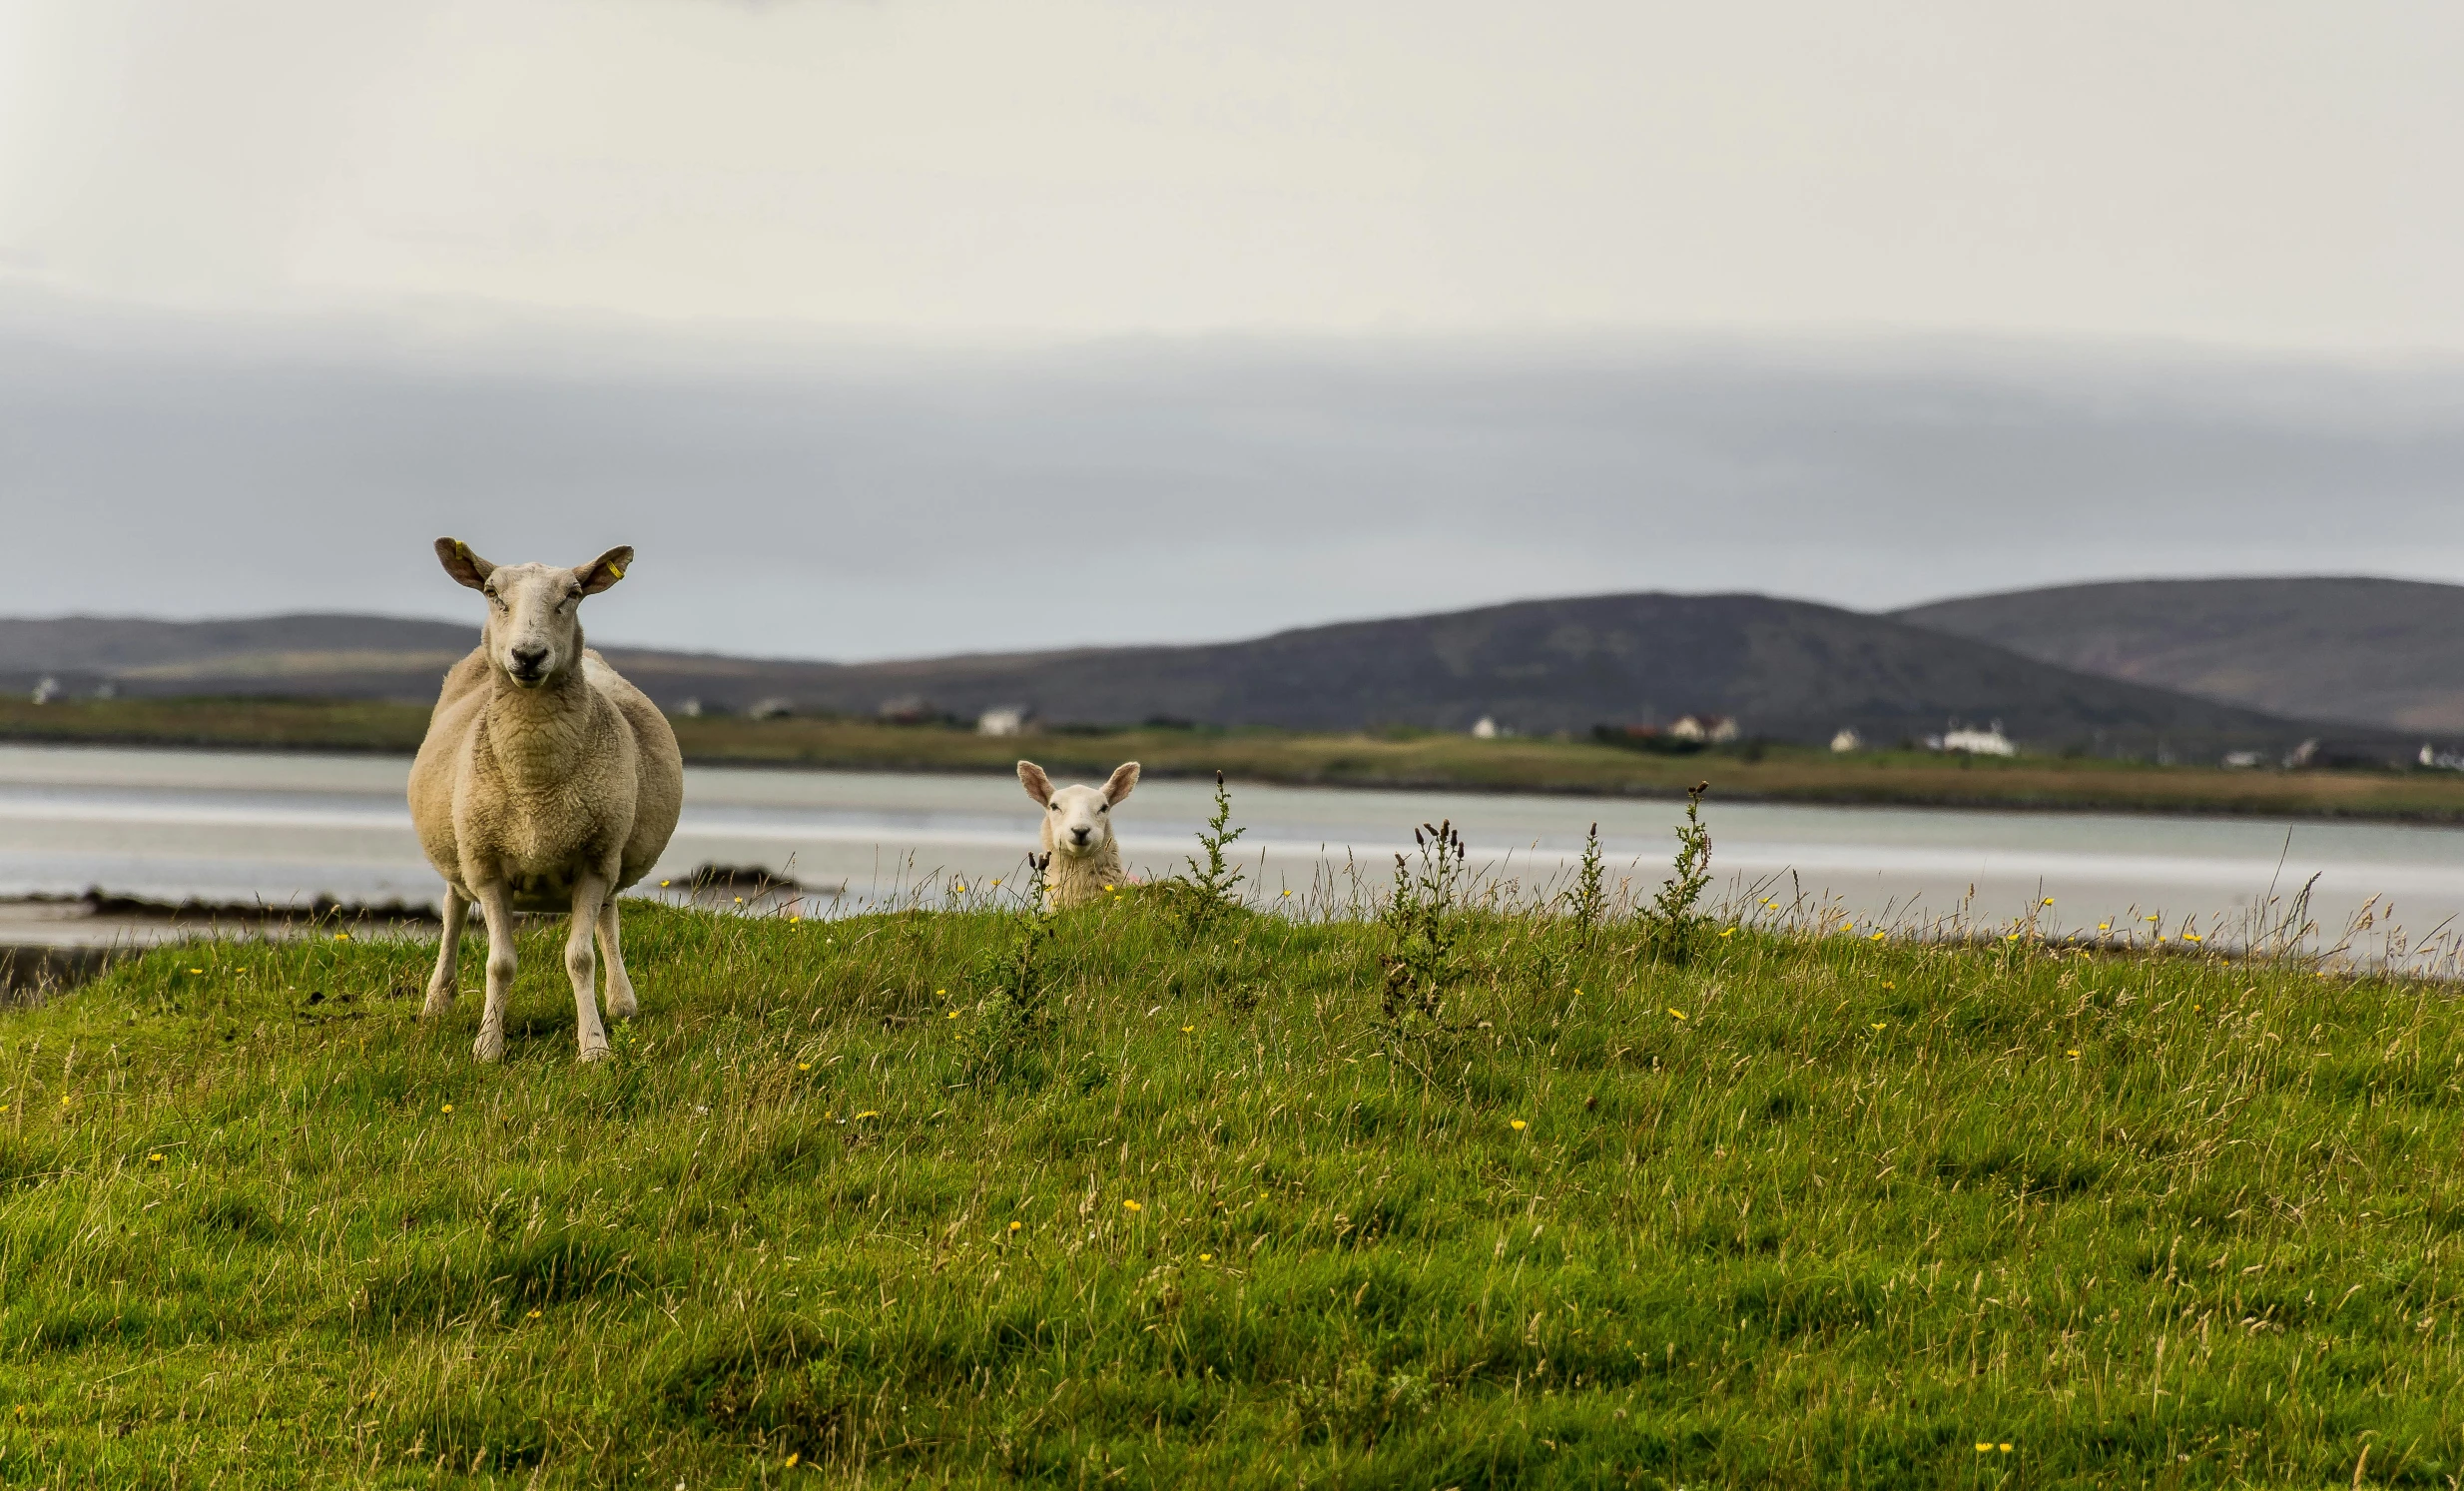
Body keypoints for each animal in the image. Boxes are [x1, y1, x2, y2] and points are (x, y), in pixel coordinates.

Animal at [411, 534, 685, 1060]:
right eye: (492, 592)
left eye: (573, 594)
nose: (529, 655)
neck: (535, 786)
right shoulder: (486, 865)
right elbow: (500, 963)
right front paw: (488, 1046)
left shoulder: (595, 859)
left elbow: (580, 958)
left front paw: (594, 1047)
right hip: (458, 849)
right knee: (452, 909)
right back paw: (437, 1001)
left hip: (612, 845)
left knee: (608, 917)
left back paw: (621, 1002)